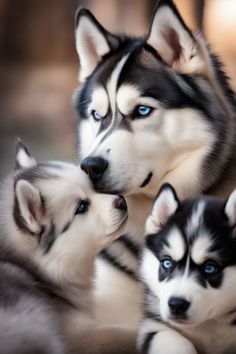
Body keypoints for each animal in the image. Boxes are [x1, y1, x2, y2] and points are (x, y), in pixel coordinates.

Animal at [139, 183, 236, 354]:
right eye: (167, 263)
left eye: (210, 268)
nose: (177, 304)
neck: (206, 325)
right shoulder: (153, 327)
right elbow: (176, 340)